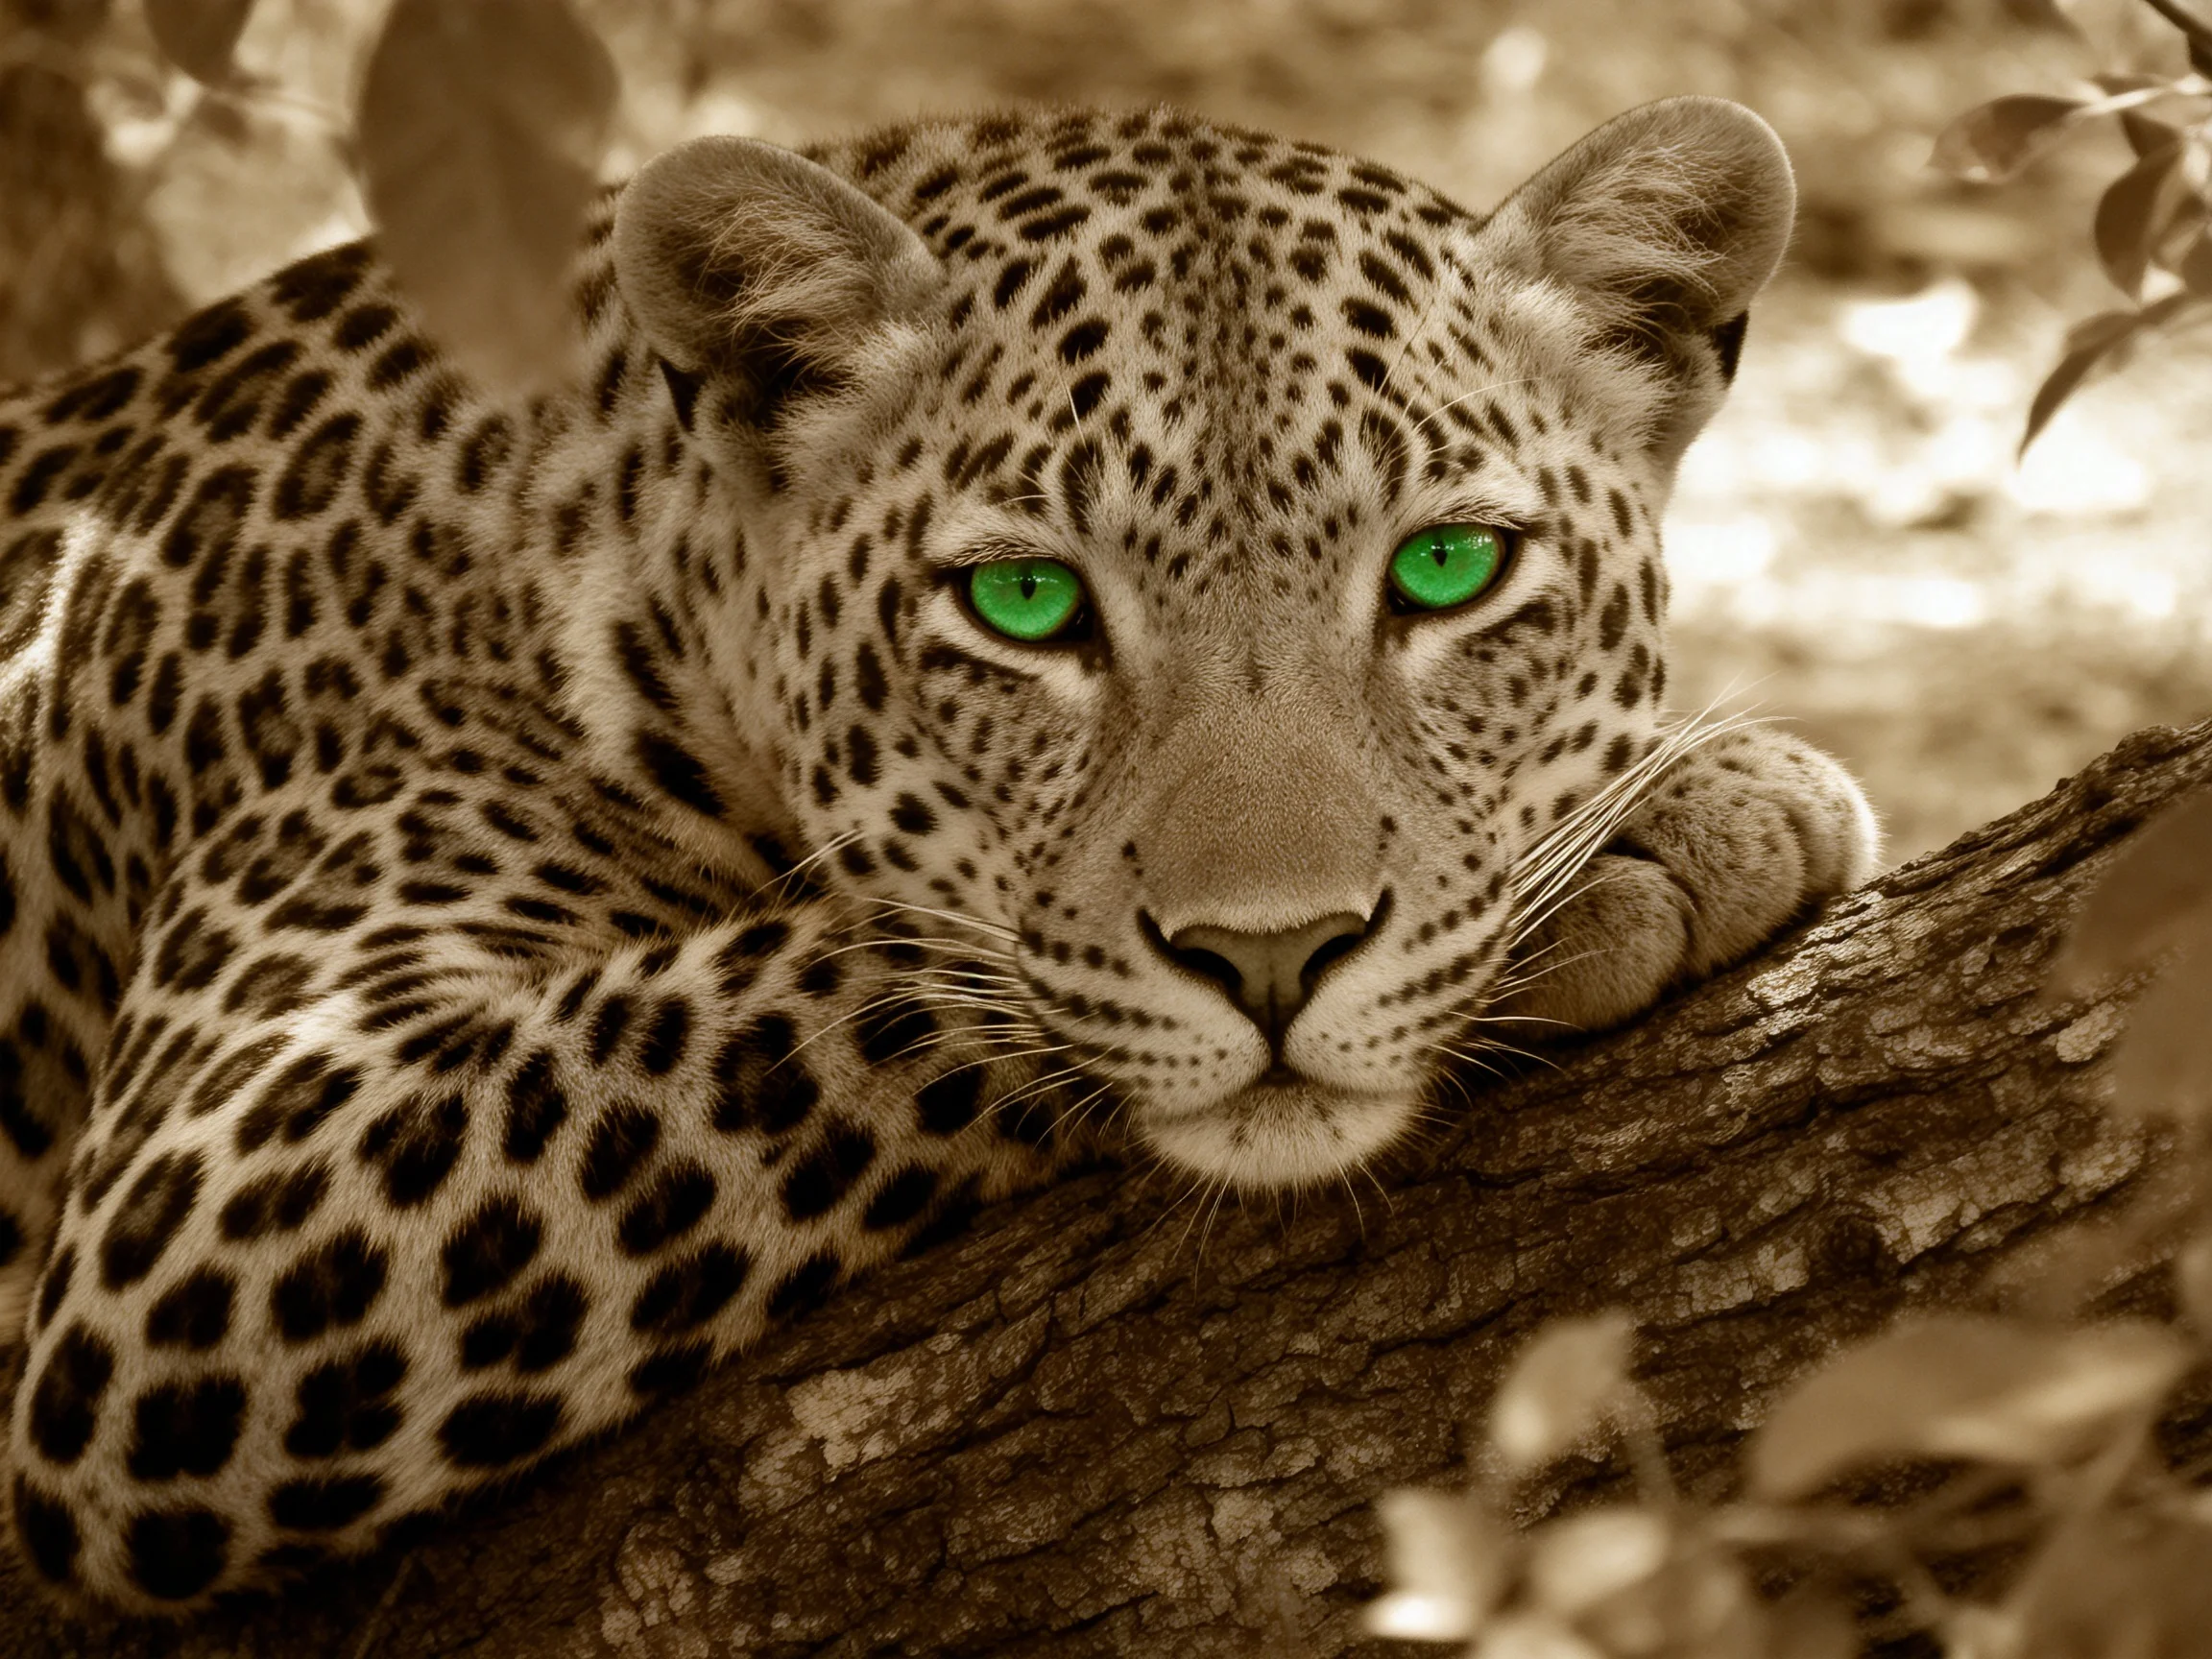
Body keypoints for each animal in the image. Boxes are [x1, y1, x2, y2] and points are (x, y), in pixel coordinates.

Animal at [0, 95, 1876, 1612]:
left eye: (1444, 570)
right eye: (1025, 601)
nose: (1273, 957)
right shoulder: (190, 1218)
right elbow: (864, 967)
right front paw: (1653, 835)